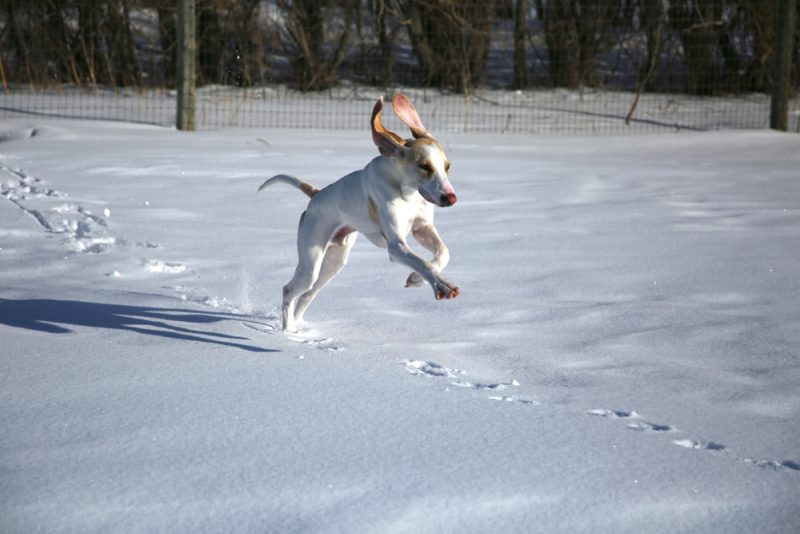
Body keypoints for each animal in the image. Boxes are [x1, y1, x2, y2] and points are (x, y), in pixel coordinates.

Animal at [260, 94, 460, 332]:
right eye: (425, 166)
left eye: (447, 166)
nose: (450, 198)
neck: (407, 191)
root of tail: (316, 195)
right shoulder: (396, 246)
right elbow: (420, 261)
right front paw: (442, 286)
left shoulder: (422, 228)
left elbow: (443, 253)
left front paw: (416, 279)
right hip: (311, 260)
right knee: (289, 290)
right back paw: (288, 332)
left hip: (333, 264)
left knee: (307, 294)